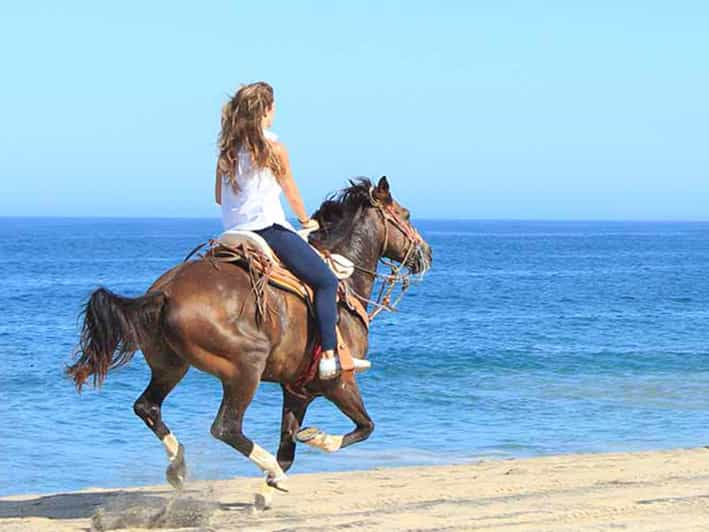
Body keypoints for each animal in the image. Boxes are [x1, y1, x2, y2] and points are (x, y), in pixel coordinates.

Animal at [66, 179, 432, 498]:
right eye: (406, 214)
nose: (427, 253)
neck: (345, 281)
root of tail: (165, 293)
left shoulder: (297, 391)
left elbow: (289, 449)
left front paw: (267, 493)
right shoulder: (338, 383)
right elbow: (365, 426)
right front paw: (316, 441)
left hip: (171, 365)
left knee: (147, 406)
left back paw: (179, 466)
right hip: (247, 367)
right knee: (225, 427)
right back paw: (253, 464)